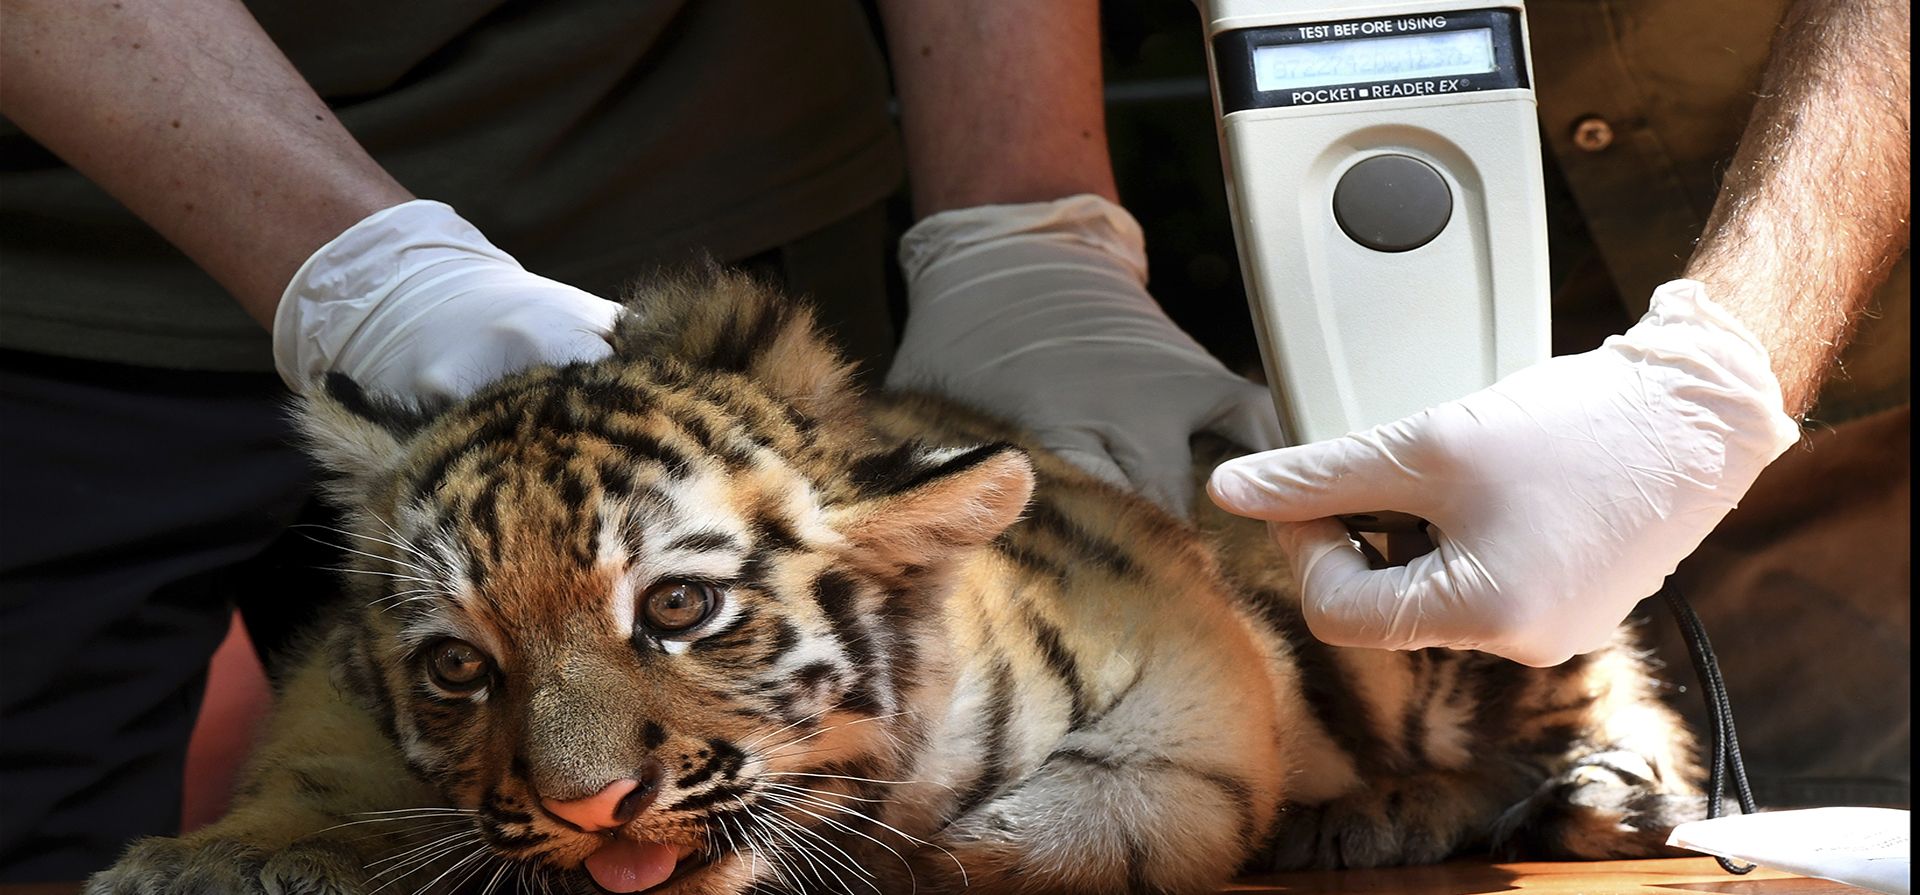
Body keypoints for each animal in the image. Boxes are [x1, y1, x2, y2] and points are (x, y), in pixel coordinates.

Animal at [87, 268, 1702, 895]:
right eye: (456, 664)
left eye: (677, 607)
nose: (589, 808)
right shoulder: (335, 704)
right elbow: (309, 776)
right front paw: (207, 856)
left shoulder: (1190, 669)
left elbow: (1098, 807)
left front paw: (954, 854)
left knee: (1609, 684)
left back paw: (1559, 800)